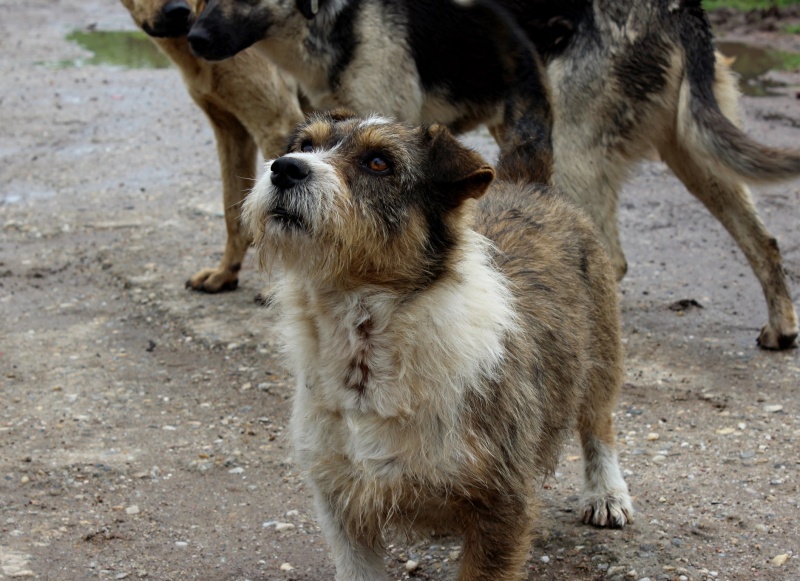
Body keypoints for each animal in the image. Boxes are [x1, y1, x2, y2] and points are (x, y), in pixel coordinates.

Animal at [189, 0, 800, 348]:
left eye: (377, 162)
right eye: (305, 146)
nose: (191, 36)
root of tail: (683, 7)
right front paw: (223, 274)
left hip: (577, 143)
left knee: (612, 256)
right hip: (691, 147)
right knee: (761, 238)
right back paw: (781, 326)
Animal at [244, 110, 632, 580]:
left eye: (379, 162)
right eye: (305, 145)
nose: (284, 168)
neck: (365, 357)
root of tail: (528, 182)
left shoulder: (502, 507)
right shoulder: (343, 505)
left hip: (601, 360)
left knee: (598, 425)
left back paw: (606, 493)